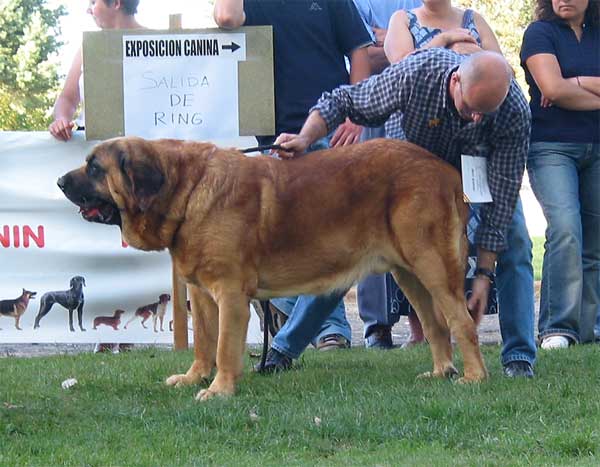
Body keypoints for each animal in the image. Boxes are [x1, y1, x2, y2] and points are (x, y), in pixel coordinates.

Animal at [57, 136, 488, 402]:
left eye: (94, 168)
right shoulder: (202, 294)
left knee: (461, 321)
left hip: (432, 266)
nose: (60, 180)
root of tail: (445, 170)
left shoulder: (230, 294)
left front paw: (219, 390)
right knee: (435, 325)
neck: (187, 190)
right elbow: (204, 343)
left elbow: (224, 347)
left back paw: (474, 377)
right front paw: (196, 377)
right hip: (408, 273)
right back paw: (441, 373)